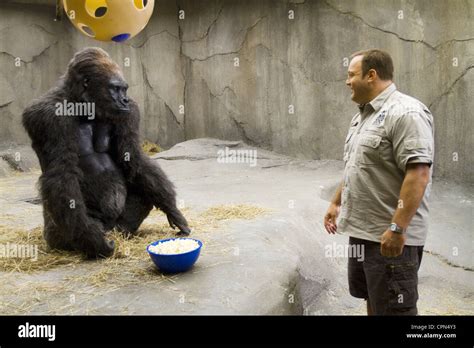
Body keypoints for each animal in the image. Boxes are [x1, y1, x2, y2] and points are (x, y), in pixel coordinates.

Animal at [22, 47, 191, 258]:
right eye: (115, 88)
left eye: (124, 89)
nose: (124, 99)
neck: (81, 104)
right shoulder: (47, 116)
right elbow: (61, 173)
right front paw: (91, 238)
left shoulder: (130, 111)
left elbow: (132, 157)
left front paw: (172, 209)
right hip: (58, 234)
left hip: (117, 227)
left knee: (142, 192)